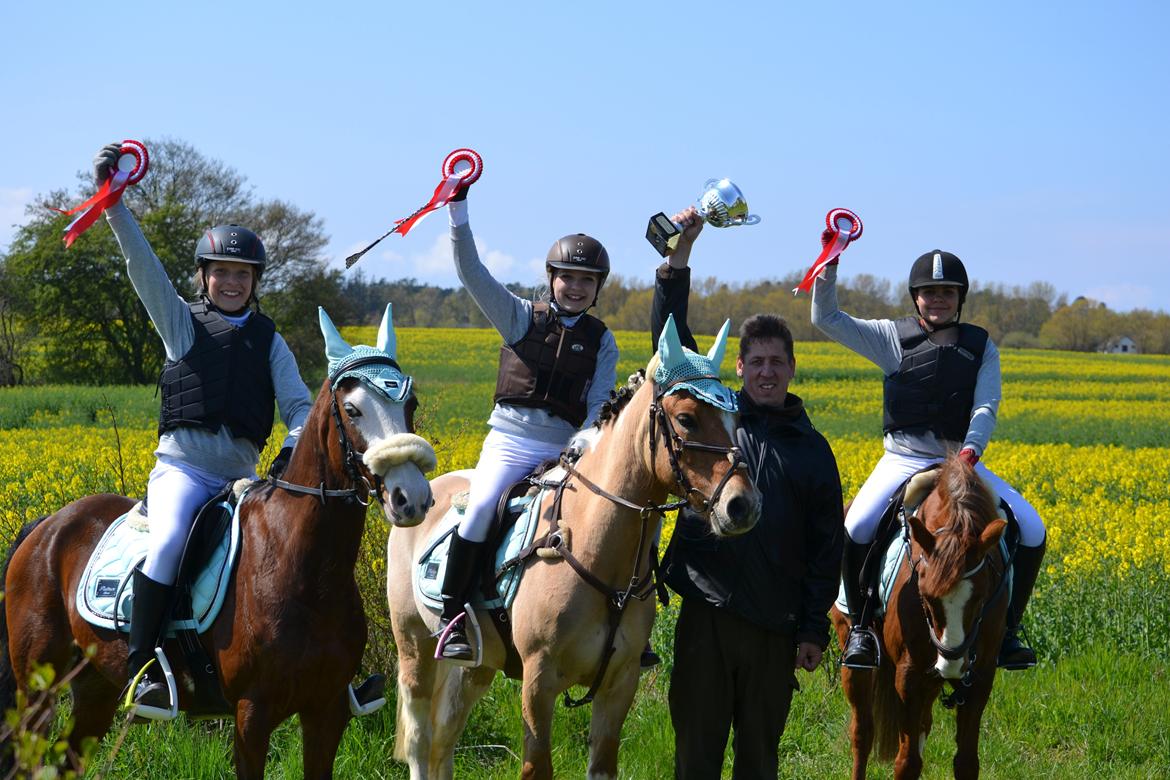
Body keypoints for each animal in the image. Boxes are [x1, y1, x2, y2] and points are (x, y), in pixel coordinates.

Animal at [0, 305, 435, 779]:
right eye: (353, 409)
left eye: (409, 403)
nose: (411, 497)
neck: (308, 569)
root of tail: (48, 525)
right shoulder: (252, 714)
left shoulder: (327, 710)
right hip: (38, 686)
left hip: (95, 686)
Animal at [387, 317, 763, 780]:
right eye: (687, 419)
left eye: (736, 417)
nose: (743, 506)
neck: (597, 553)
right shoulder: (538, 682)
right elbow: (537, 766)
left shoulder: (619, 686)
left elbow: (601, 765)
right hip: (414, 647)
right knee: (422, 741)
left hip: (478, 665)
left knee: (444, 739)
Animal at [831, 455, 1011, 780]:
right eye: (925, 597)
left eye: (981, 597)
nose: (952, 663)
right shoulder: (910, 674)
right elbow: (907, 763)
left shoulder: (980, 676)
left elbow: (967, 762)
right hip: (854, 657)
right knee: (862, 732)